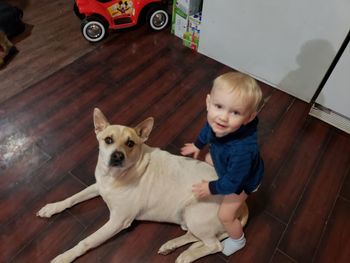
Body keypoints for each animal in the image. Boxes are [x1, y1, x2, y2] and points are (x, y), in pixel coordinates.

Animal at [37, 108, 249, 262]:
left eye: (130, 143)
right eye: (108, 140)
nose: (117, 156)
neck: (115, 177)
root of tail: (242, 203)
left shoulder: (117, 221)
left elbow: (86, 242)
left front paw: (64, 257)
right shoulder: (99, 185)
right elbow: (73, 198)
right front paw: (52, 207)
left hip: (195, 213)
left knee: (215, 245)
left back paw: (187, 256)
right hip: (188, 217)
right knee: (195, 237)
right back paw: (171, 246)